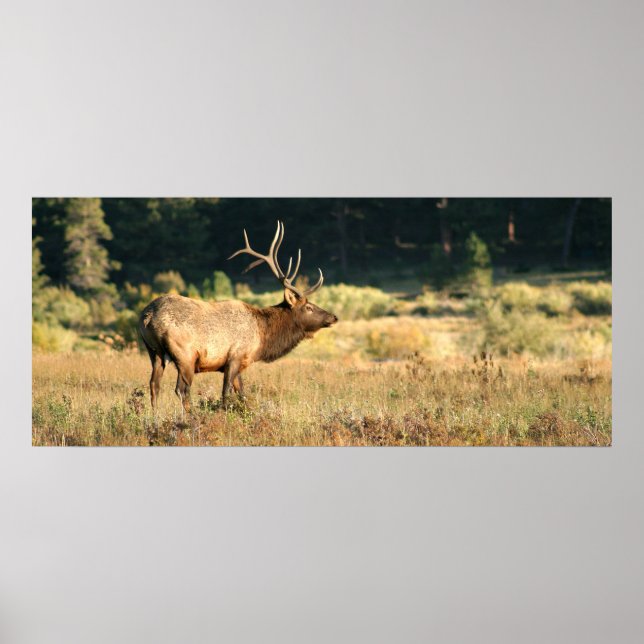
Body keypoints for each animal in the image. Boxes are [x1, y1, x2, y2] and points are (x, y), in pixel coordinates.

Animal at [138, 221, 338, 412]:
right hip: (185, 355)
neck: (262, 336)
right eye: (309, 307)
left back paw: (155, 418)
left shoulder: (239, 362)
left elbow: (242, 394)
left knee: (154, 386)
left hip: (154, 352)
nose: (334, 317)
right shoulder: (235, 356)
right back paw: (191, 417)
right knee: (181, 390)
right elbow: (226, 393)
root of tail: (148, 317)